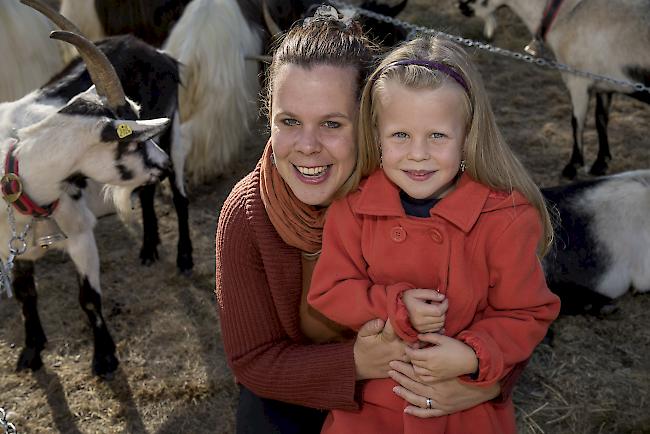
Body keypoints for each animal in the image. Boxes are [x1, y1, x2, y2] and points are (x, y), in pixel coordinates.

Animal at [0, 3, 171, 378]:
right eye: (132, 142)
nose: (163, 165)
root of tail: (145, 45)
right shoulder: (12, 248)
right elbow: (25, 294)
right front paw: (31, 353)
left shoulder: (80, 233)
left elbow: (89, 298)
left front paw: (105, 359)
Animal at [456, 0, 648, 178]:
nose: (462, 7)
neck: (566, 13)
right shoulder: (604, 86)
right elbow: (600, 120)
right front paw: (600, 164)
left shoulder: (578, 80)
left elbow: (576, 122)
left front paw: (572, 167)